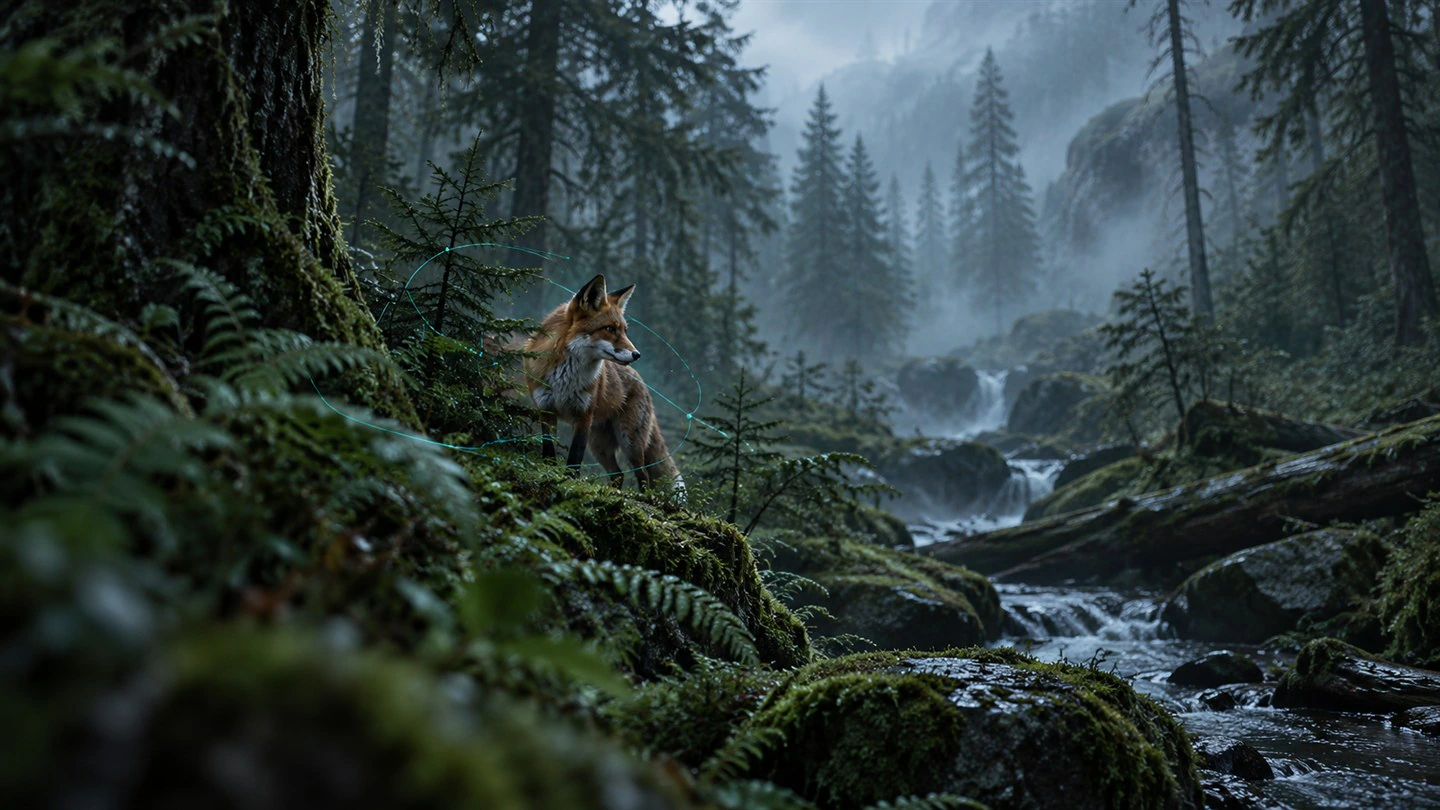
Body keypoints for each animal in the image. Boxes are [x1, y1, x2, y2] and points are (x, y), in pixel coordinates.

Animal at [522, 274, 684, 496]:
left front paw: (569, 483)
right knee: (618, 475)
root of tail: (642, 382)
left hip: (629, 441)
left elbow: (575, 458)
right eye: (609, 329)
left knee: (644, 476)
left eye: (624, 330)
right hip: (599, 445)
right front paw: (549, 473)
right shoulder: (546, 409)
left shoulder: (584, 415)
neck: (565, 376)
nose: (637, 354)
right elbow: (548, 451)